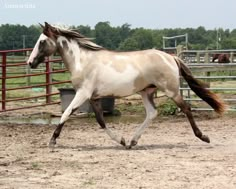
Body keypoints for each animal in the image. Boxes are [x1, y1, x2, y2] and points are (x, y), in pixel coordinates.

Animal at [26, 22, 226, 149]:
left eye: (42, 41)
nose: (30, 62)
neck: (83, 61)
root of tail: (171, 57)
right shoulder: (94, 97)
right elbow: (100, 121)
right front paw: (121, 141)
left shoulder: (83, 93)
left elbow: (66, 113)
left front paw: (52, 141)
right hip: (146, 92)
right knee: (152, 113)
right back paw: (132, 142)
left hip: (171, 91)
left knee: (186, 109)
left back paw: (203, 137)